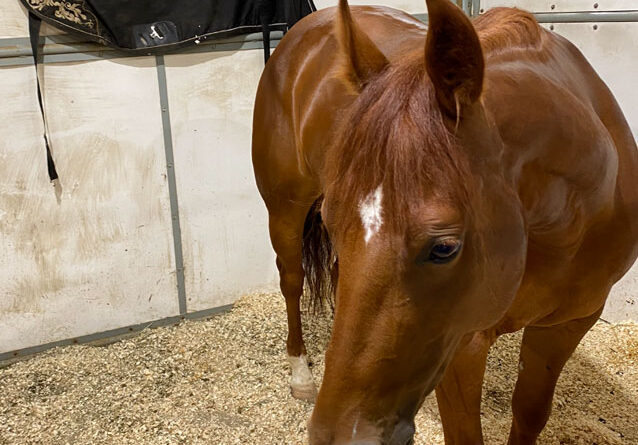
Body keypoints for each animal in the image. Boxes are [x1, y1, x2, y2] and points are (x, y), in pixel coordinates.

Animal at [252, 1, 636, 442]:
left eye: (444, 247)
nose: (337, 435)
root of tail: (307, 27)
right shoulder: (463, 345)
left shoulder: (568, 324)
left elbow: (530, 413)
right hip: (286, 211)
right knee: (292, 280)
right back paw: (301, 374)